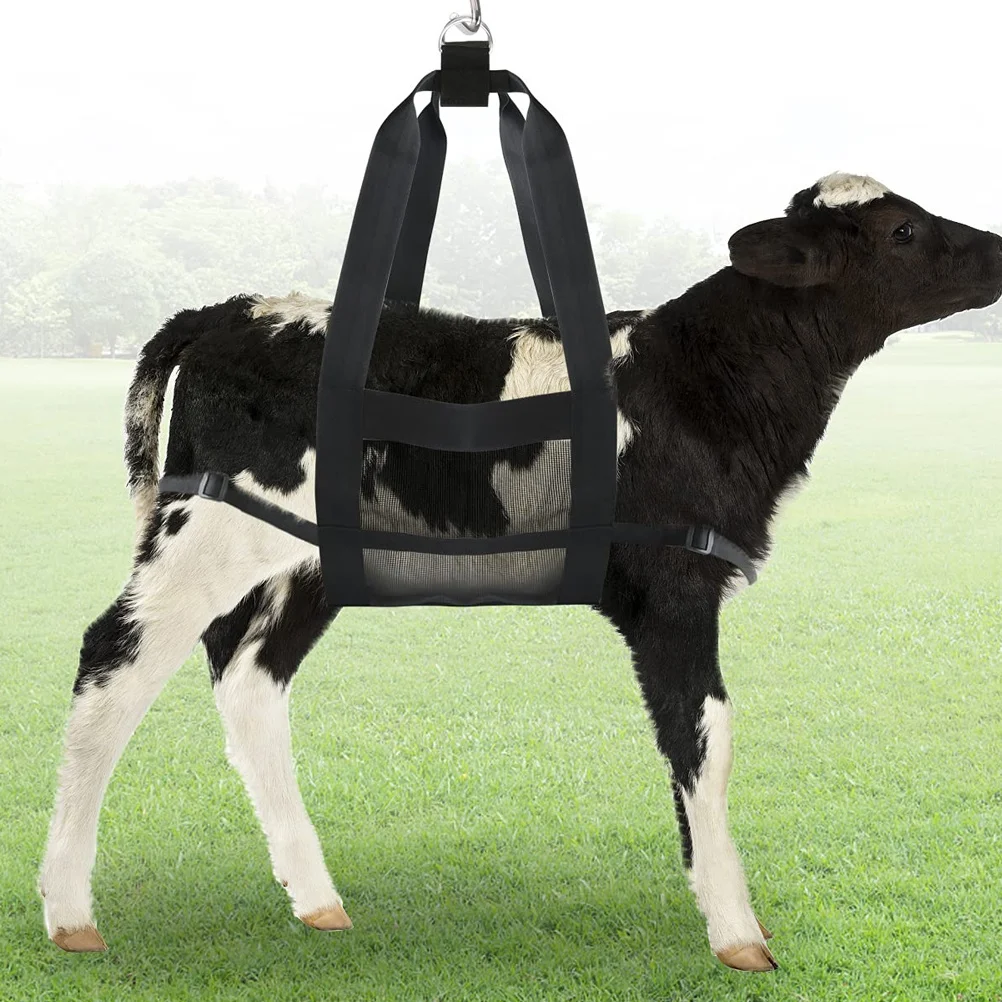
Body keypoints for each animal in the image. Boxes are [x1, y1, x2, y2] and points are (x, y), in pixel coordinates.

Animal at [38, 173, 1002, 971]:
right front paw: (736, 932)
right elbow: (706, 736)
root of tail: (224, 309)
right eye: (905, 231)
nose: (996, 246)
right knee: (111, 664)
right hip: (205, 531)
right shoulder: (675, 586)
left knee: (247, 678)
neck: (703, 385)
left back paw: (316, 900)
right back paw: (69, 911)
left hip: (303, 561)